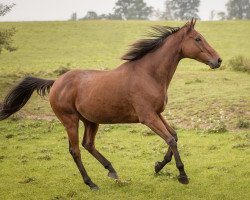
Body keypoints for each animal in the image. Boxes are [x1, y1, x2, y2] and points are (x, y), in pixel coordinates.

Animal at [0, 19, 222, 191]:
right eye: (198, 39)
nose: (218, 60)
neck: (148, 74)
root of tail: (56, 82)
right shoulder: (147, 117)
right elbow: (170, 139)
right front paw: (182, 175)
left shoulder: (157, 113)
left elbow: (174, 136)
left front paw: (158, 166)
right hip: (70, 120)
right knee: (76, 150)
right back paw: (91, 183)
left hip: (90, 120)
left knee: (88, 144)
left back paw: (112, 171)